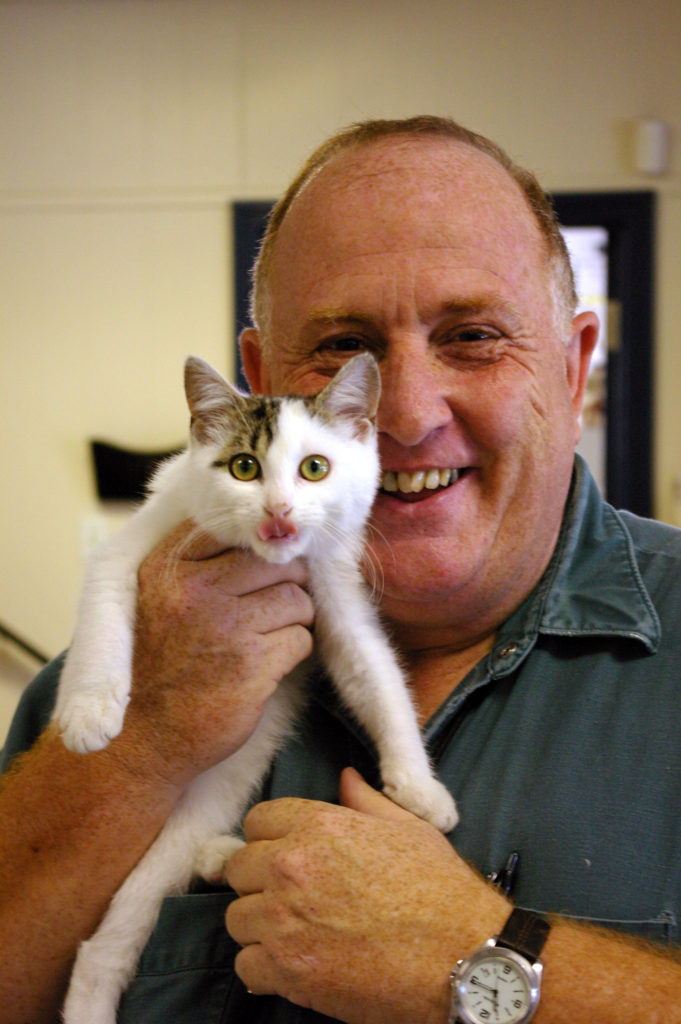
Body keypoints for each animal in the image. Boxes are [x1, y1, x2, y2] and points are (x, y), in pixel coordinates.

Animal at [53, 354, 456, 1024]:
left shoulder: (335, 591)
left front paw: (418, 788)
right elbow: (105, 610)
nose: (280, 511)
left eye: (314, 468)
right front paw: (88, 711)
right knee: (101, 948)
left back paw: (218, 857)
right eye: (244, 467)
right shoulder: (129, 546)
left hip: (210, 802)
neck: (274, 562)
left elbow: (375, 676)